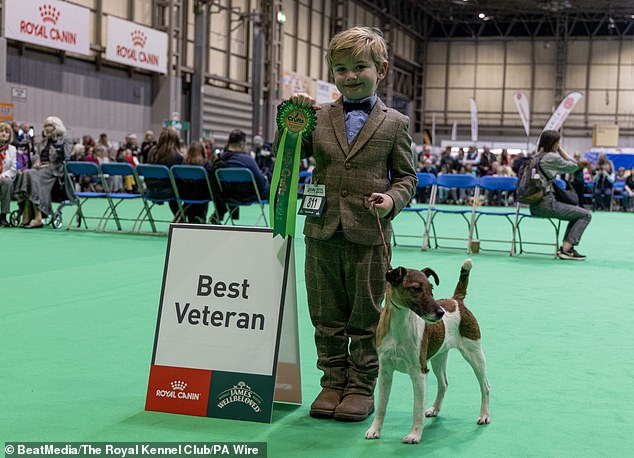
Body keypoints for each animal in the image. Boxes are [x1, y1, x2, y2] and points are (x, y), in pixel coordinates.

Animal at [360, 260, 488, 446]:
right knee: (443, 383)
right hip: (438, 358)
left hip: (474, 355)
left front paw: (414, 435)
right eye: (415, 289)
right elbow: (382, 405)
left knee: (485, 386)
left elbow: (417, 408)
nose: (441, 313)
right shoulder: (385, 372)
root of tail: (456, 300)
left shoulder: (419, 373)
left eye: (431, 288)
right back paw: (434, 409)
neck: (399, 327)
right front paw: (374, 430)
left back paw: (484, 415)